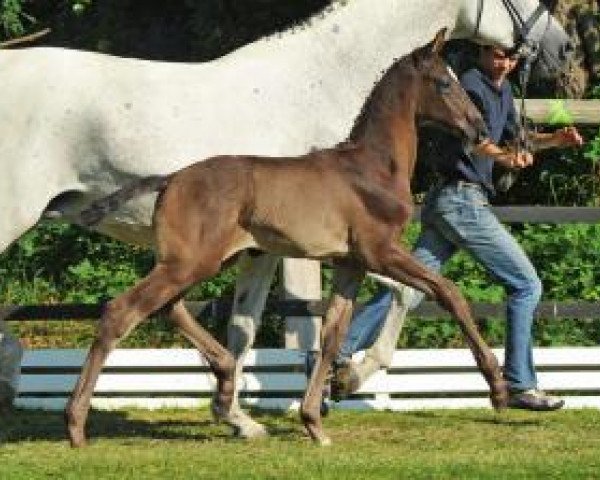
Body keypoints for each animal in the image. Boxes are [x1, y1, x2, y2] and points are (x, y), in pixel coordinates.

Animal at [0, 0, 568, 432]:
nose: (563, 49)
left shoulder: (269, 251)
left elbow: (250, 326)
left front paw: (241, 416)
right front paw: (339, 387)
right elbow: (382, 304)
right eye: (446, 82)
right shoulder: (334, 250)